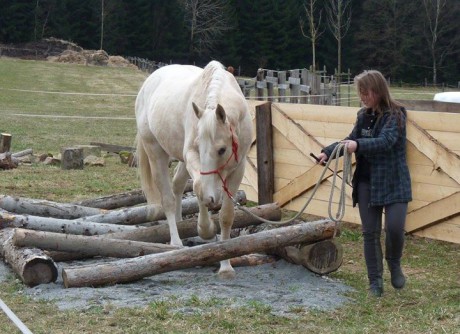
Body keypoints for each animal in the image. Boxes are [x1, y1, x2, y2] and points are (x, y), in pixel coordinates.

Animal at [135, 59, 253, 276]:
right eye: (199, 147)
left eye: (222, 149)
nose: (214, 197)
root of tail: (148, 83)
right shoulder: (191, 156)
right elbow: (199, 190)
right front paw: (205, 230)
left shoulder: (238, 168)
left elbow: (226, 215)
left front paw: (226, 266)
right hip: (155, 152)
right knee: (168, 198)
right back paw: (175, 242)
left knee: (177, 185)